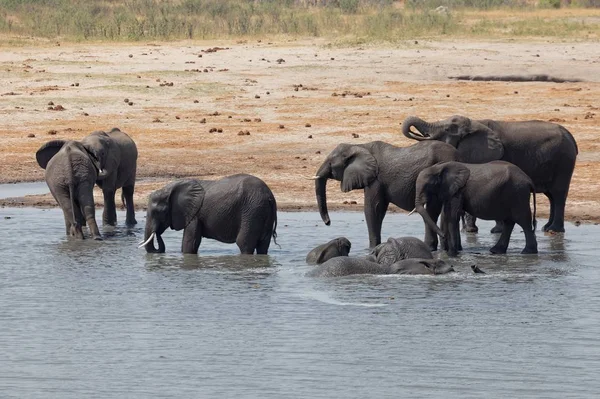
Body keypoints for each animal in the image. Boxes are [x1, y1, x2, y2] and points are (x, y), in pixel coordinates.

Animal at [139, 175, 278, 256]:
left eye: (159, 212)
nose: (157, 232)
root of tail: (269, 196)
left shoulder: (194, 214)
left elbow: (190, 243)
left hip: (252, 211)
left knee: (244, 243)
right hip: (262, 213)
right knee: (263, 246)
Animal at [312, 141, 458, 250]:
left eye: (330, 163)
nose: (328, 222)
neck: (359, 146)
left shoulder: (376, 179)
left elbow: (373, 209)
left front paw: (372, 249)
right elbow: (379, 210)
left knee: (433, 210)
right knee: (435, 211)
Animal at [400, 115, 580, 234]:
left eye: (447, 129)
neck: (473, 123)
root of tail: (571, 137)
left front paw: (478, 231)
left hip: (564, 161)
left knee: (558, 194)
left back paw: (554, 230)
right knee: (551, 196)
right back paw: (546, 228)